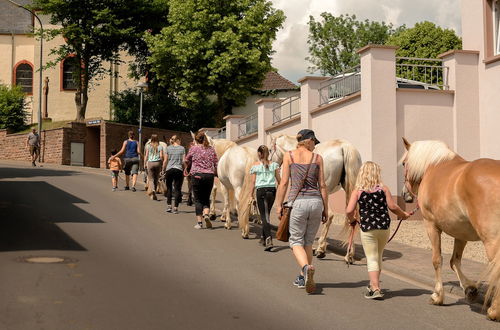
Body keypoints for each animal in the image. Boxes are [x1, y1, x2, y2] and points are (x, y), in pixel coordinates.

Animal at [272, 134, 362, 262]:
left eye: (271, 149)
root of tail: (345, 146)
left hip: (325, 191)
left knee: (329, 215)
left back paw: (321, 249)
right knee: (352, 218)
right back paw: (349, 255)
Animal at [400, 138, 500, 320]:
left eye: (404, 163)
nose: (405, 194)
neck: (434, 166)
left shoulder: (431, 225)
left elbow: (437, 260)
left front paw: (438, 295)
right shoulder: (461, 233)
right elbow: (455, 261)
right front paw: (469, 288)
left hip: (492, 241)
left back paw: (494, 310)